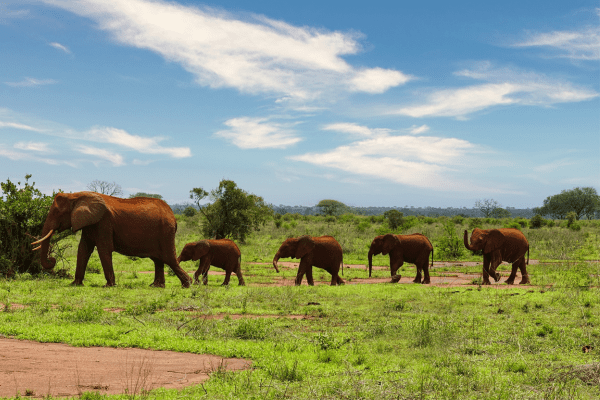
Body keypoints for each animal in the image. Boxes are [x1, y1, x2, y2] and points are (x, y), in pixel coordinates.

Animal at [30, 191, 191, 288]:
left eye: (57, 212)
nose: (52, 259)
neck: (76, 195)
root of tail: (173, 216)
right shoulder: (90, 223)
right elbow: (83, 249)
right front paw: (74, 284)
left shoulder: (103, 222)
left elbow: (103, 249)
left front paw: (108, 286)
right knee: (158, 260)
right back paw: (156, 286)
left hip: (165, 231)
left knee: (169, 258)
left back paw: (187, 284)